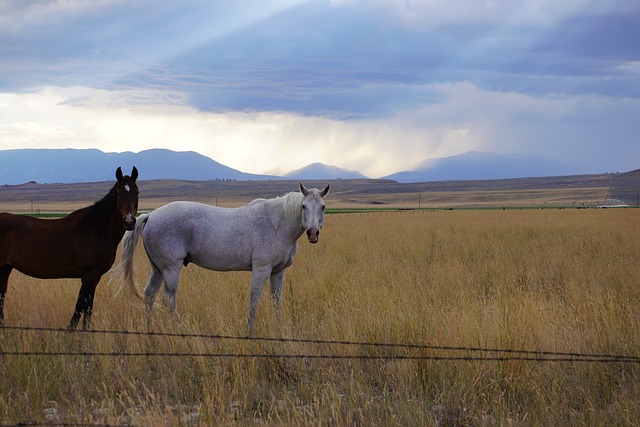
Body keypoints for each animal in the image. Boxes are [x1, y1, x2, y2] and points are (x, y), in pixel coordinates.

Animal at [0, 166, 139, 330]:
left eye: (137, 192)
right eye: (118, 192)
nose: (129, 221)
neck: (96, 229)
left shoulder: (95, 276)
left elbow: (86, 307)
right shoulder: (89, 275)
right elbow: (81, 307)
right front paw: (73, 333)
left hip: (4, 269)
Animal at [113, 182, 330, 332]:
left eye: (323, 207)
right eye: (303, 206)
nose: (313, 233)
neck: (278, 222)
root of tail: (150, 215)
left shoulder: (278, 271)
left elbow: (277, 301)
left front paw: (279, 329)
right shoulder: (262, 269)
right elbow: (255, 299)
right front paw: (249, 331)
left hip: (158, 269)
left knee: (149, 295)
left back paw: (150, 331)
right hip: (170, 269)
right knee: (168, 299)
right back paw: (181, 329)